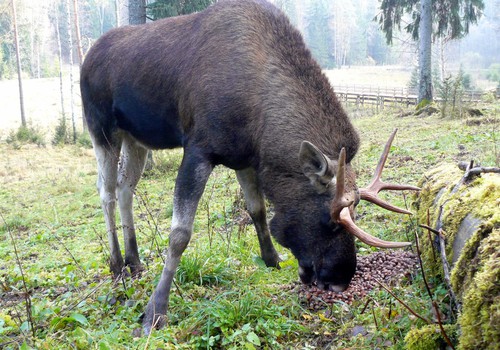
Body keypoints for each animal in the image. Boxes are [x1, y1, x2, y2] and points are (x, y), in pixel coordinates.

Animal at [81, 0, 418, 332]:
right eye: (331, 221)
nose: (340, 280)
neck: (259, 119)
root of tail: (86, 58)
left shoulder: (243, 157)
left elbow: (257, 210)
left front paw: (273, 259)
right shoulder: (199, 149)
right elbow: (179, 235)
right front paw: (155, 311)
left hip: (135, 137)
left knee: (126, 187)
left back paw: (134, 260)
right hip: (102, 129)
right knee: (105, 191)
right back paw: (116, 264)